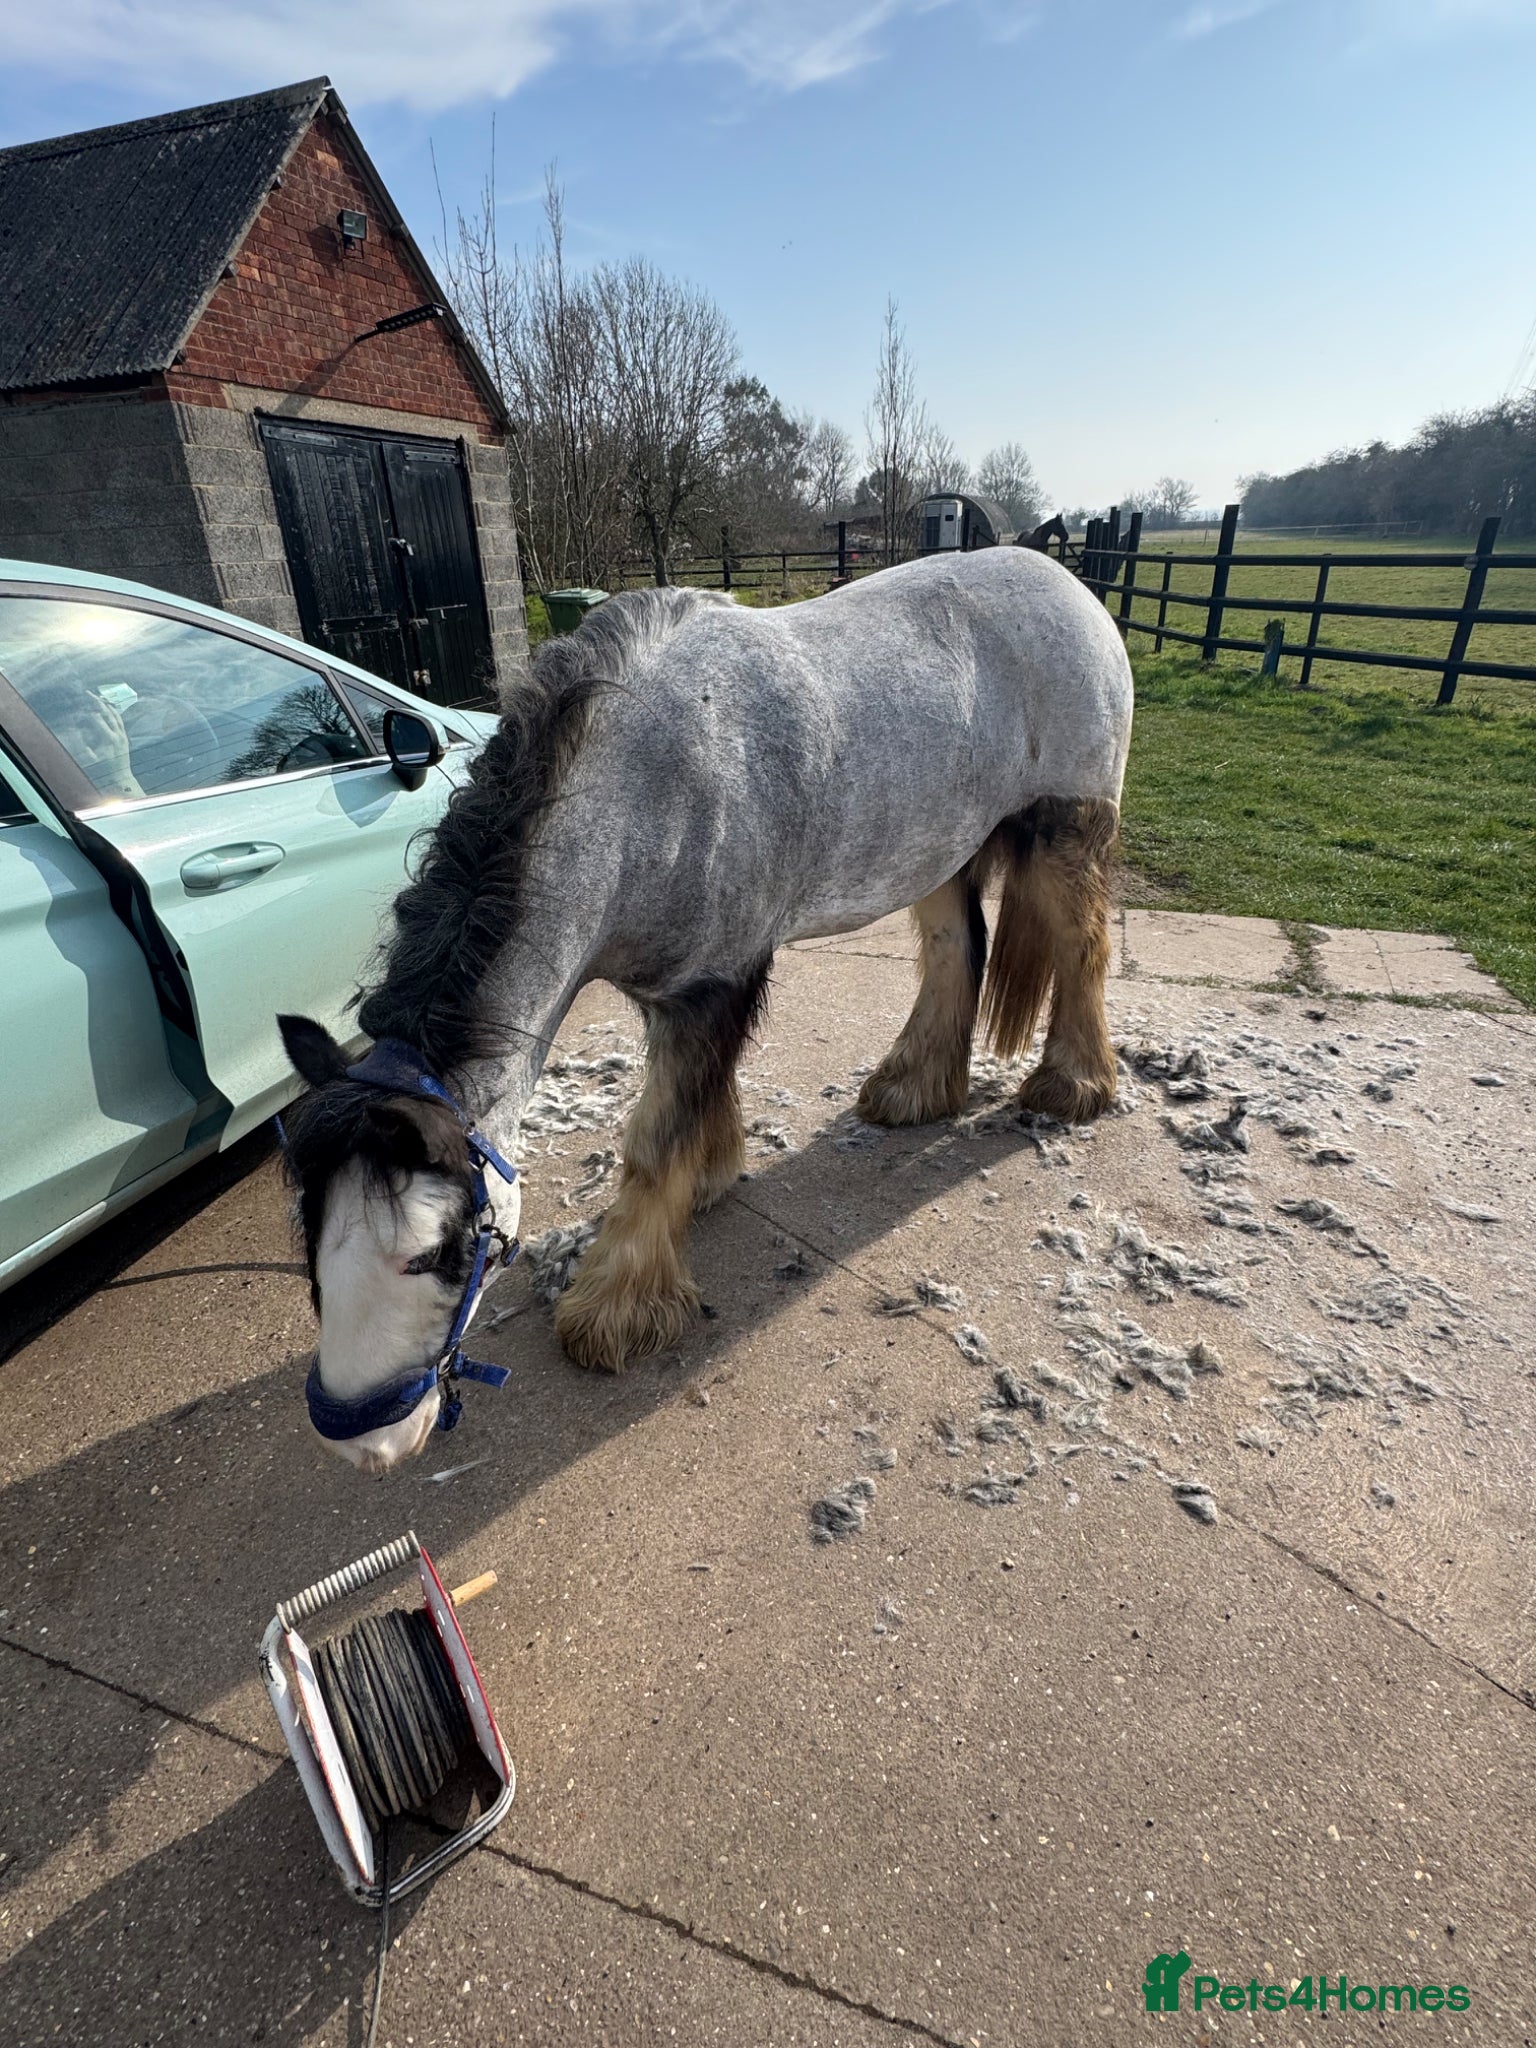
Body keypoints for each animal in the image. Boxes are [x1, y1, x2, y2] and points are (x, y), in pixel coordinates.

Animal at [277, 547, 1133, 1472]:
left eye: (441, 1249)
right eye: (311, 1238)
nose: (362, 1446)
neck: (646, 789)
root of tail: (1065, 581)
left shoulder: (713, 983)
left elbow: (656, 1138)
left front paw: (617, 1308)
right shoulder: (676, 988)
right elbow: (694, 1107)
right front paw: (713, 1177)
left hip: (1066, 831)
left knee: (1082, 950)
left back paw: (1072, 1087)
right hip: (941, 844)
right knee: (953, 951)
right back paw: (913, 1090)